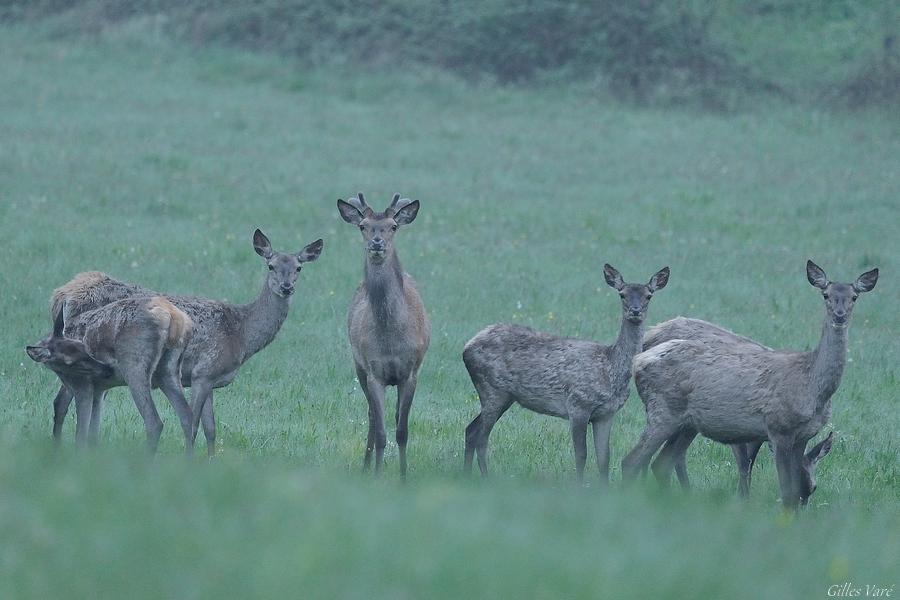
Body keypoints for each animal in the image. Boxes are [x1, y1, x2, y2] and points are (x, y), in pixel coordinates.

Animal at [28, 296, 195, 450]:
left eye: (84, 348)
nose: (107, 369)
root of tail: (174, 316)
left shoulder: (82, 385)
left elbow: (79, 431)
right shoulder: (99, 389)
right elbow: (92, 432)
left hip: (134, 367)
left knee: (154, 422)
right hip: (168, 372)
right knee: (188, 417)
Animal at [338, 192, 432, 478]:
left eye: (393, 226)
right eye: (363, 226)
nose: (377, 242)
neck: (391, 337)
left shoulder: (411, 372)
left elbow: (402, 430)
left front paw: (403, 476)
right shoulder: (374, 372)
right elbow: (381, 432)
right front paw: (377, 475)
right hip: (358, 366)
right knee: (371, 415)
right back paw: (366, 465)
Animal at [464, 262, 668, 482]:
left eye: (649, 295)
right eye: (622, 294)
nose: (635, 311)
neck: (611, 371)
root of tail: (467, 347)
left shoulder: (606, 414)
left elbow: (604, 458)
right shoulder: (578, 404)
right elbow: (581, 455)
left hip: (503, 396)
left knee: (471, 430)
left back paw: (465, 473)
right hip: (492, 389)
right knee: (481, 437)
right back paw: (485, 478)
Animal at [624, 260, 876, 508]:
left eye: (854, 296)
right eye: (826, 294)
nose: (839, 315)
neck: (813, 389)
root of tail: (639, 359)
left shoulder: (802, 436)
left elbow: (785, 487)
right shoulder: (778, 428)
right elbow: (784, 491)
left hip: (686, 423)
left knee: (661, 463)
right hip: (662, 411)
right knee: (632, 461)